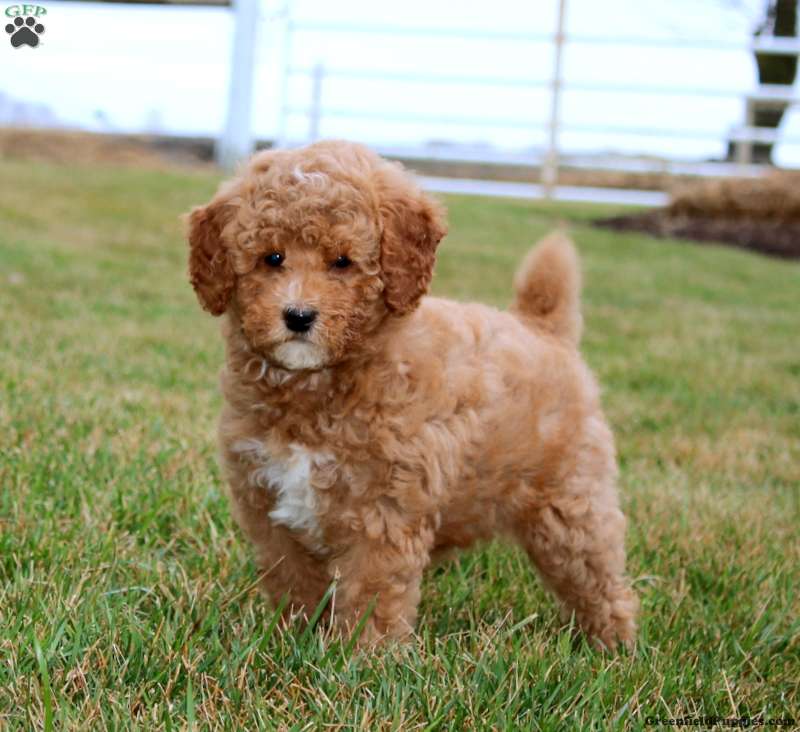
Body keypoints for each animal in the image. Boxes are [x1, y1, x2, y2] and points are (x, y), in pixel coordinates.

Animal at [186, 140, 638, 650]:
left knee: (596, 575)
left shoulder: (383, 512)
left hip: (571, 501)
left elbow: (372, 592)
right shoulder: (269, 506)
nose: (298, 316)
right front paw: (294, 638)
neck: (316, 392)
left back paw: (614, 645)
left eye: (342, 262)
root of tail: (542, 328)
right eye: (272, 258)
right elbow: (294, 581)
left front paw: (361, 656)